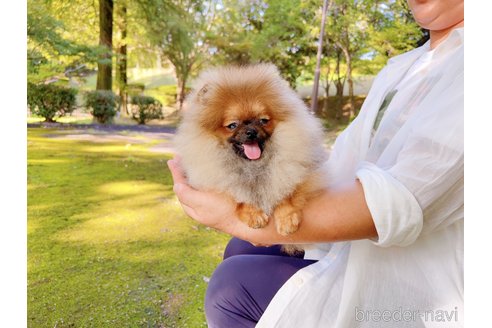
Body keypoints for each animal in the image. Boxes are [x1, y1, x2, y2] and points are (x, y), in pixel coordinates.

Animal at [175, 63, 328, 251]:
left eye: (263, 121)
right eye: (232, 125)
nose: (251, 131)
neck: (252, 165)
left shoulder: (294, 172)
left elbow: (286, 191)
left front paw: (286, 218)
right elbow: (238, 196)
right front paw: (253, 214)